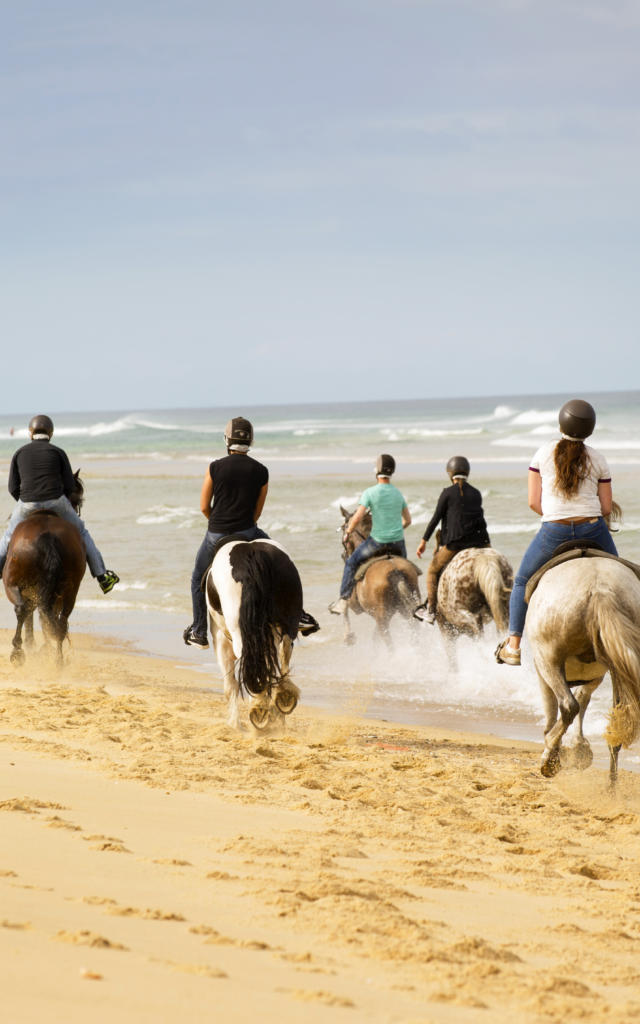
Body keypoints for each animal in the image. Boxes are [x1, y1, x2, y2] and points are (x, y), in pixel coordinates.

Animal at [2, 468, 86, 667]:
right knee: (58, 621)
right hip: (68, 590)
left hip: (16, 584)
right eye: (78, 499)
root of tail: (47, 536)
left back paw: (20, 652)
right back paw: (56, 659)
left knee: (25, 611)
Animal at [205, 536, 303, 729]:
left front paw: (235, 723)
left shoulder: (220, 639)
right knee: (281, 655)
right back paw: (281, 699)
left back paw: (260, 708)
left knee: (256, 661)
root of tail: (251, 556)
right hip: (286, 623)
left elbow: (230, 685)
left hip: (241, 633)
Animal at [522, 552, 638, 782]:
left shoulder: (542, 669)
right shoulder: (597, 675)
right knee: (617, 724)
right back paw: (611, 785)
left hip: (548, 659)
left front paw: (561, 750)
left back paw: (549, 754)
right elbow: (584, 699)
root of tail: (601, 589)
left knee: (568, 705)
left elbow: (555, 708)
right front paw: (578, 747)